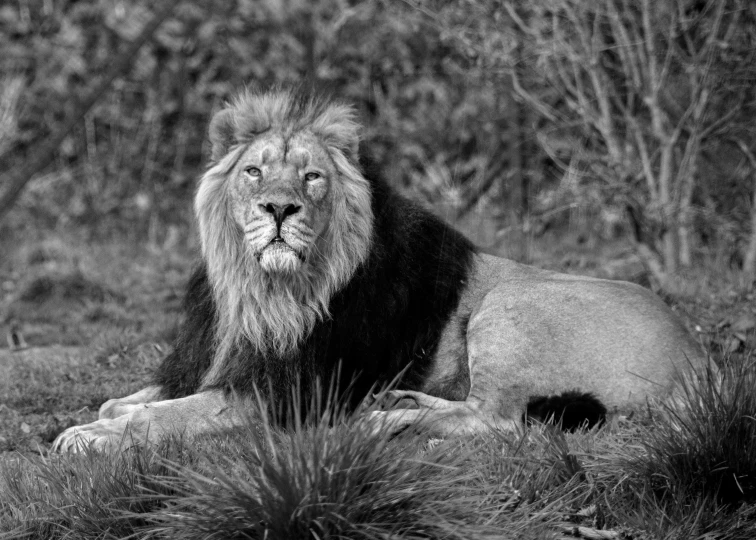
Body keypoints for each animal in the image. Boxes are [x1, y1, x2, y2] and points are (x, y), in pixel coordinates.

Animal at [51, 87, 704, 452]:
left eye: (312, 176)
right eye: (254, 172)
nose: (280, 209)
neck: (260, 290)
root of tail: (701, 359)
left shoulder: (286, 393)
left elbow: (167, 417)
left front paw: (90, 437)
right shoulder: (221, 362)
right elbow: (131, 401)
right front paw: (110, 416)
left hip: (508, 308)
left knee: (498, 422)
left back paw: (379, 424)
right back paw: (397, 405)